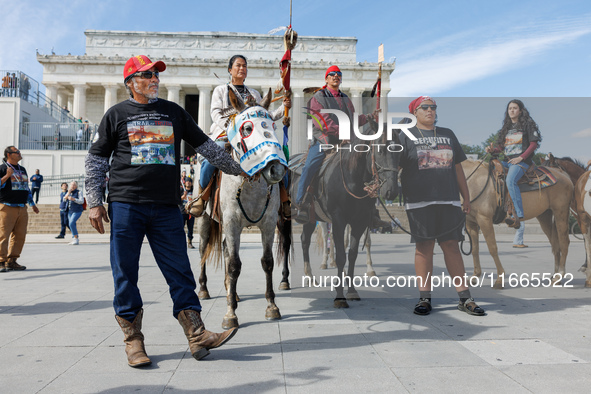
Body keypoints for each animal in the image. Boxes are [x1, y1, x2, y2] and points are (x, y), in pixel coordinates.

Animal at [198, 89, 288, 330]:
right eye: (247, 129)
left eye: (273, 125)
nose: (276, 169)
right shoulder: (231, 222)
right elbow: (234, 265)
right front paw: (230, 314)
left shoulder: (268, 223)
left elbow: (267, 262)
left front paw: (272, 306)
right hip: (205, 219)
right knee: (203, 250)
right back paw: (204, 289)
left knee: (225, 249)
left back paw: (233, 292)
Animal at [462, 159, 572, 288]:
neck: (472, 181)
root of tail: (562, 174)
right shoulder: (471, 223)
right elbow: (474, 249)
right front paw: (474, 277)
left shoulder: (484, 219)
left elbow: (492, 248)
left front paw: (499, 279)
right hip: (545, 216)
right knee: (555, 244)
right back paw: (555, 277)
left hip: (561, 212)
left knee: (564, 242)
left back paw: (559, 275)